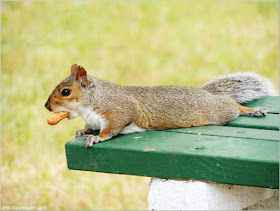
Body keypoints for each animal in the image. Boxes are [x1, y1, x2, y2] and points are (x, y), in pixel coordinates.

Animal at [44, 63, 274, 148]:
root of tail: (208, 94)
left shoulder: (118, 110)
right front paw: (83, 130)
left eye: (66, 92)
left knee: (234, 105)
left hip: (220, 111)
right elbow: (89, 126)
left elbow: (111, 129)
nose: (47, 106)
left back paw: (253, 110)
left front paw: (96, 137)